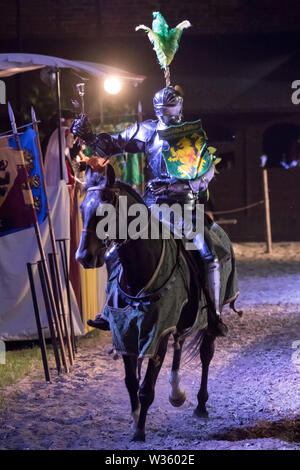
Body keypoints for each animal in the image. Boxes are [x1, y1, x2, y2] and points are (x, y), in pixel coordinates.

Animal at [75, 164, 239, 440]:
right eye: (81, 208)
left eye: (105, 209)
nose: (83, 257)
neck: (140, 273)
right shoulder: (126, 332)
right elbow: (131, 383)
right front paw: (134, 420)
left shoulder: (157, 332)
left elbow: (146, 388)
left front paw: (139, 432)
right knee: (180, 341)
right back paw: (176, 392)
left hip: (209, 319)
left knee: (206, 353)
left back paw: (201, 405)